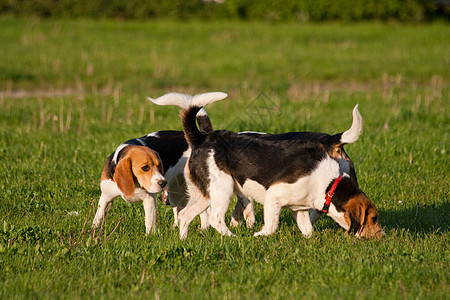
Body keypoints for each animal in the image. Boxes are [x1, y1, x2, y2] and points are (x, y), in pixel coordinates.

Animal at [150, 92, 384, 240]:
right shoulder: (274, 197)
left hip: (206, 195)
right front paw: (257, 235)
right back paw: (233, 238)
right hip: (222, 190)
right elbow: (271, 227)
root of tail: (201, 139)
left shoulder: (299, 208)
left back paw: (183, 240)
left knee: (185, 216)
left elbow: (308, 230)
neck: (329, 185)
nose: (382, 236)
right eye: (373, 218)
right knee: (216, 219)